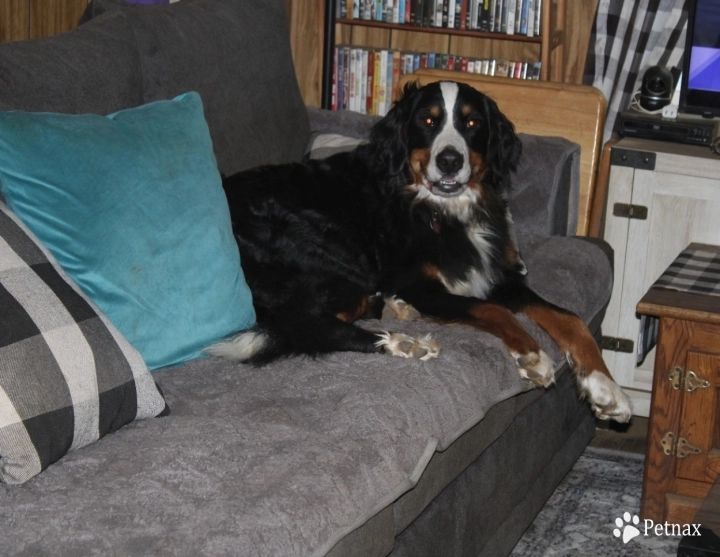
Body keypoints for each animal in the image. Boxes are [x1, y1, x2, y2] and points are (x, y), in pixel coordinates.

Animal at [211, 79, 632, 422]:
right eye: (428, 122)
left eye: (472, 124)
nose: (449, 161)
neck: (441, 210)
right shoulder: (418, 282)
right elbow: (490, 309)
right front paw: (531, 355)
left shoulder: (493, 275)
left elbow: (569, 319)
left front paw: (606, 388)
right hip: (328, 261)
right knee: (311, 324)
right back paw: (401, 341)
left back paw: (398, 314)